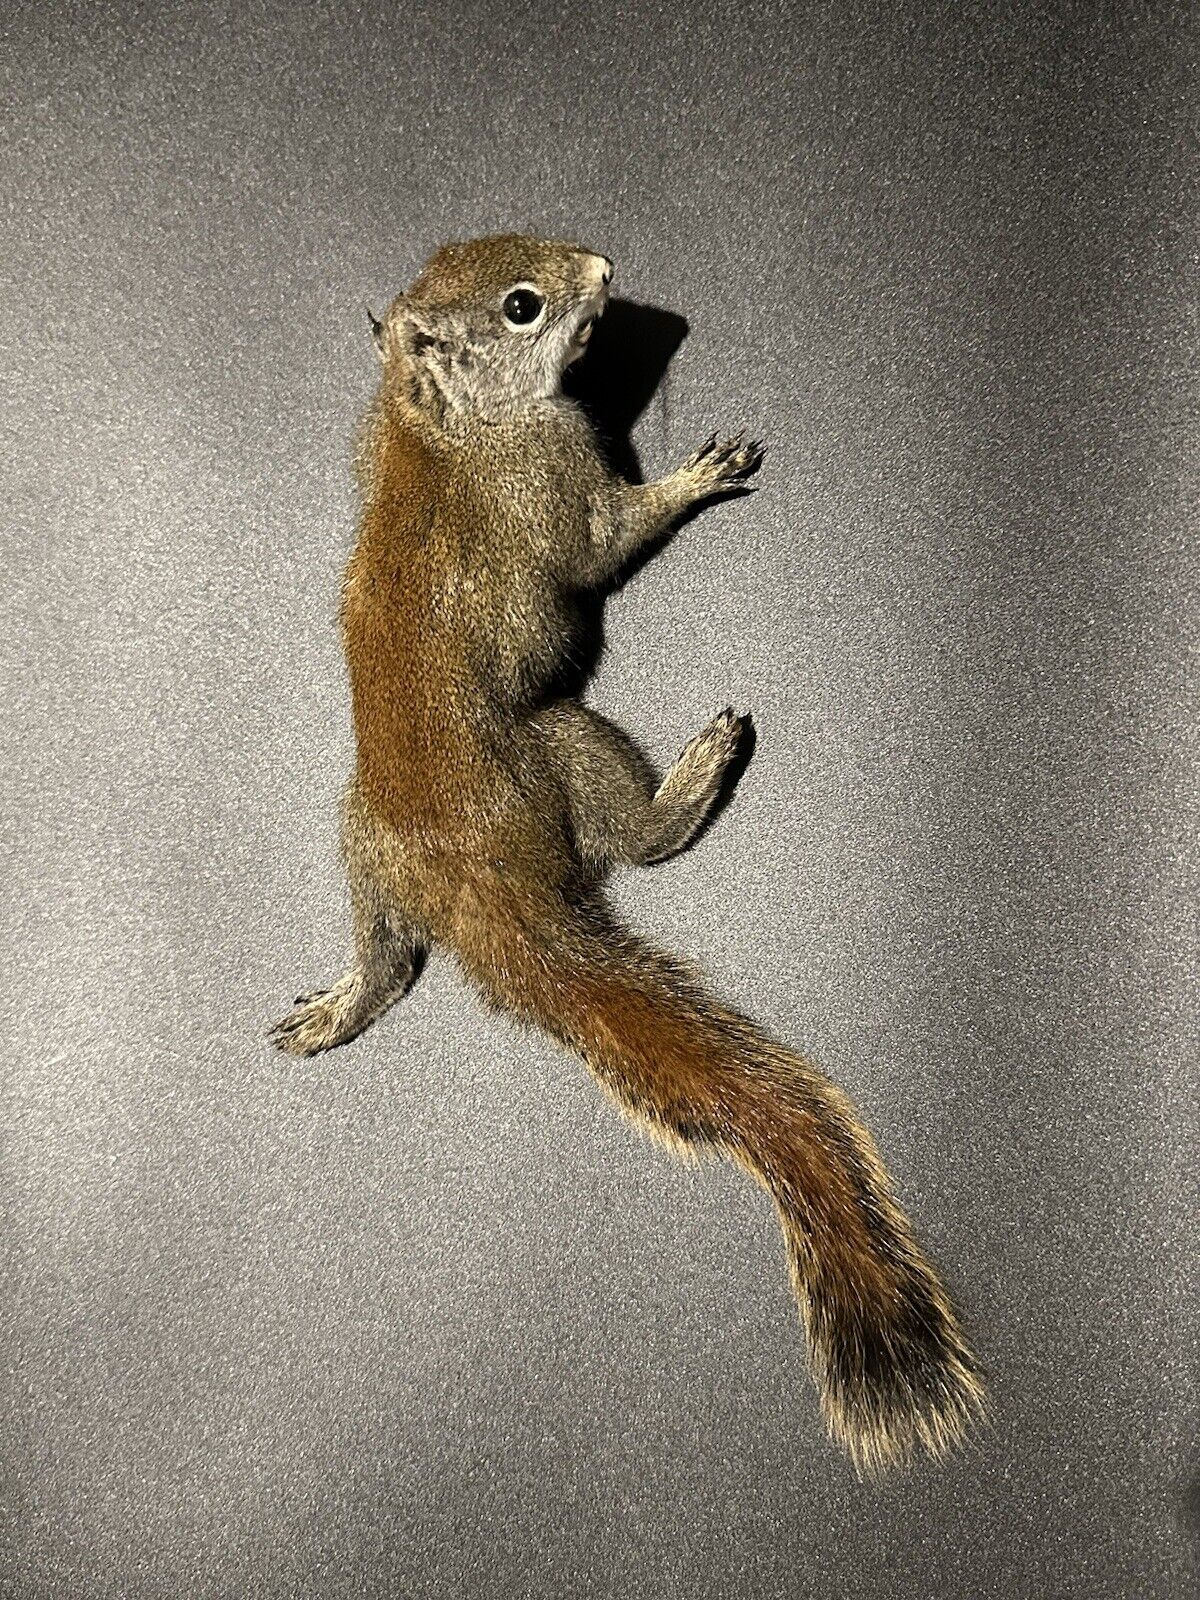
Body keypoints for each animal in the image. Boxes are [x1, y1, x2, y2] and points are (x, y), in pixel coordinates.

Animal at [269, 233, 986, 1474]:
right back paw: (695, 776)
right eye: (521, 307)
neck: (440, 431)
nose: (604, 268)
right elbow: (605, 541)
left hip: (360, 845)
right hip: (562, 746)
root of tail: (473, 887)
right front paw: (698, 477)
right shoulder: (555, 484)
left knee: (390, 962)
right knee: (635, 843)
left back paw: (340, 1004)